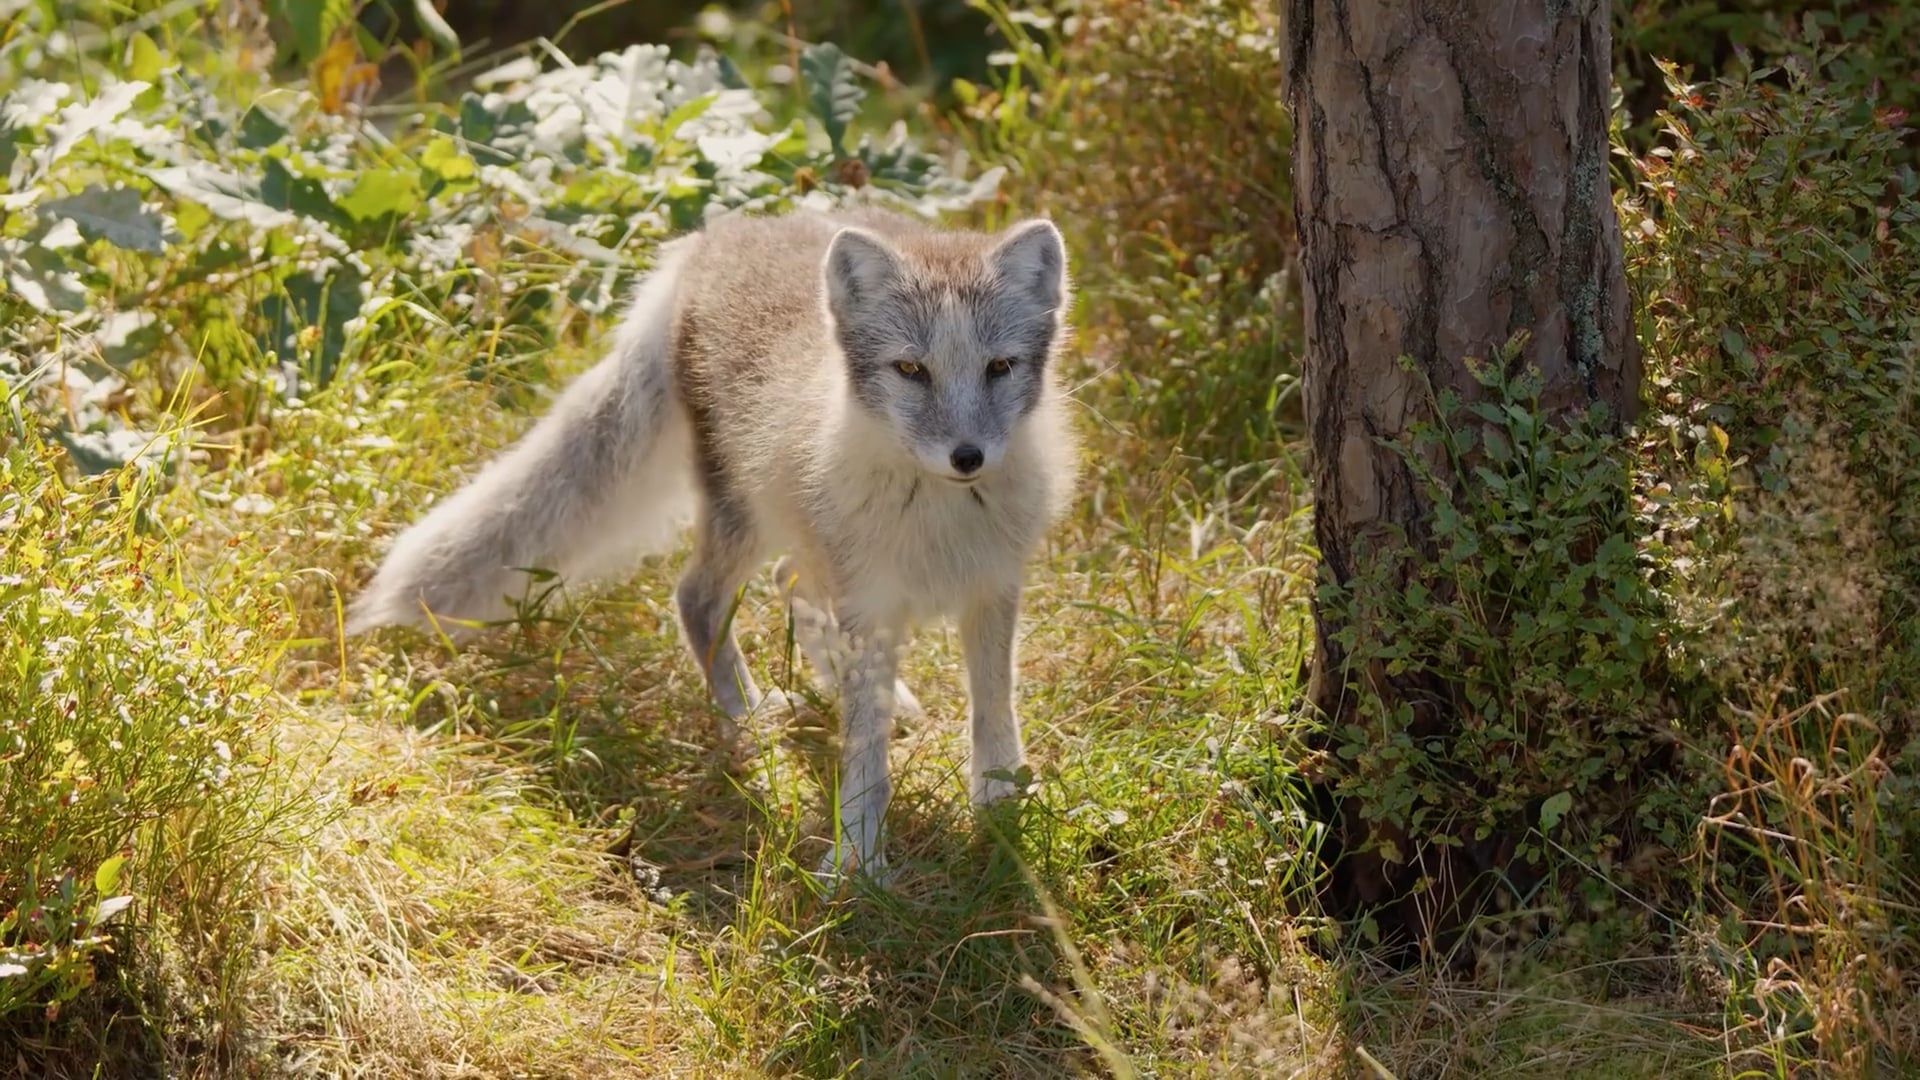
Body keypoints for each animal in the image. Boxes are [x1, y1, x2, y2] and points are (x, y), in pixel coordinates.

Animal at [346, 206, 1079, 878]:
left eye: (999, 367)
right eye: (911, 369)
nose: (967, 456)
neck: (942, 514)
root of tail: (722, 233)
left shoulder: (992, 589)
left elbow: (993, 712)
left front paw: (1001, 814)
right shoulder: (870, 604)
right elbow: (865, 755)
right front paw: (857, 865)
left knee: (788, 583)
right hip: (740, 514)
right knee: (697, 597)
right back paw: (749, 721)